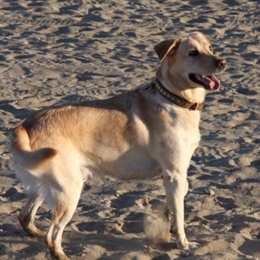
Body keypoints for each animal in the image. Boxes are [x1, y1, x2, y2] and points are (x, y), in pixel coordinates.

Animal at [9, 31, 225, 258]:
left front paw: (169, 221)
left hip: (46, 184)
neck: (173, 98)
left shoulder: (176, 173)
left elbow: (178, 198)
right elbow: (180, 210)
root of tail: (25, 125)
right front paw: (182, 242)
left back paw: (35, 232)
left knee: (25, 216)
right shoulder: (174, 172)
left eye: (211, 48)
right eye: (193, 53)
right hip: (70, 190)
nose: (222, 62)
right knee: (52, 236)